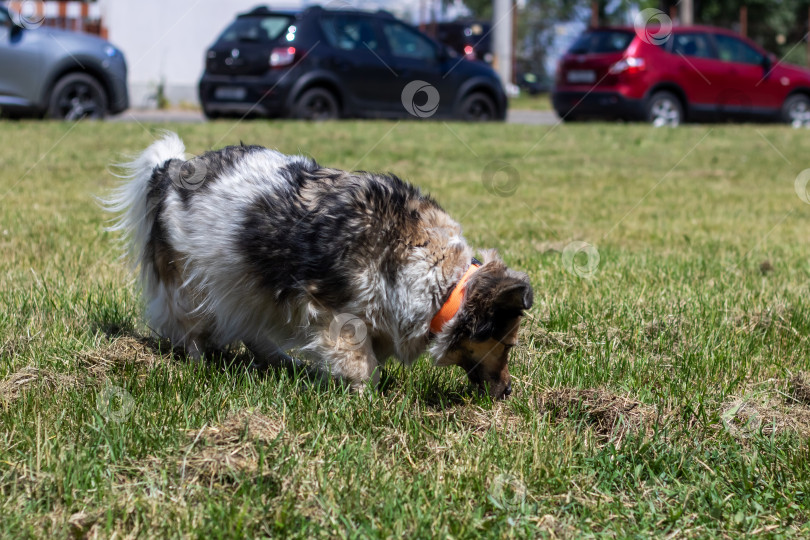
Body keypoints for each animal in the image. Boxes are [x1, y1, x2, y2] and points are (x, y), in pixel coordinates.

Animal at [105, 133, 532, 398]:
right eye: (507, 343)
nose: (509, 392)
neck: (442, 278)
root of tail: (170, 169)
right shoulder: (330, 309)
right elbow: (360, 360)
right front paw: (365, 397)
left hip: (248, 284)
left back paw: (278, 361)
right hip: (194, 279)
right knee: (189, 324)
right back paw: (200, 362)